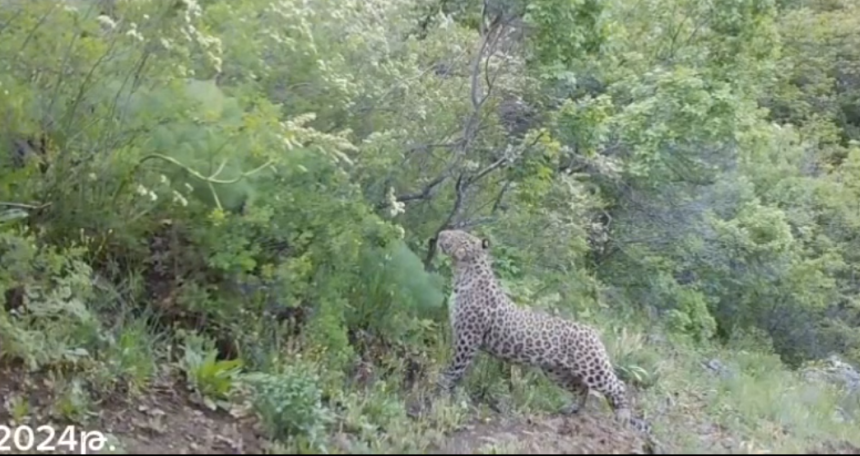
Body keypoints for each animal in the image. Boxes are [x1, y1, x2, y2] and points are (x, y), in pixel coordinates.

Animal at [431, 228, 651, 435]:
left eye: (460, 236)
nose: (441, 234)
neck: (463, 272)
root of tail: (592, 331)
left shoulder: (468, 337)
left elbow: (454, 367)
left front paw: (442, 389)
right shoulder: (461, 334)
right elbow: (455, 367)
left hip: (592, 367)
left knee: (617, 385)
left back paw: (623, 416)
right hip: (556, 371)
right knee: (582, 388)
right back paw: (571, 409)